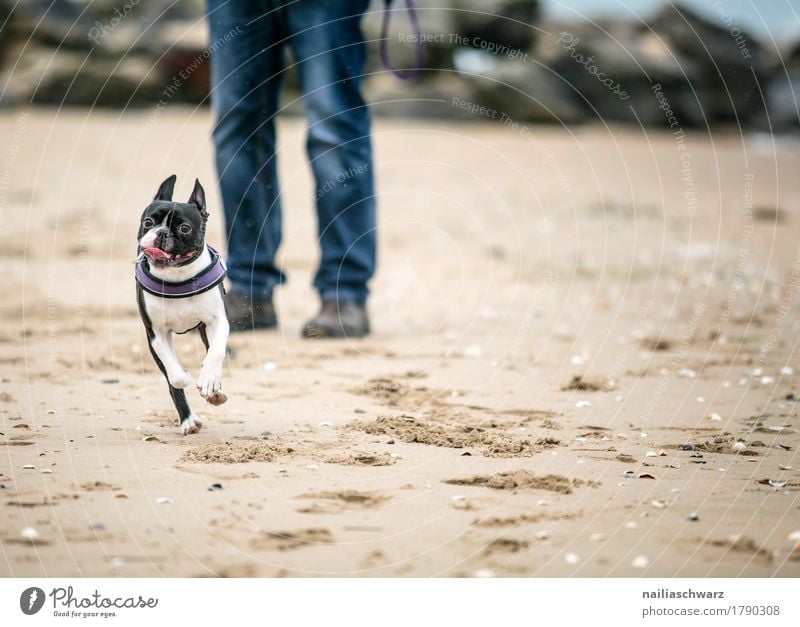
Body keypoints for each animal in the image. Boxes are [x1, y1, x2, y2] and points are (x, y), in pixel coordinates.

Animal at [136, 174, 230, 434]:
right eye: (148, 222)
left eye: (184, 228)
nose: (161, 233)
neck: (177, 278)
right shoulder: (156, 333)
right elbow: (174, 376)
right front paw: (186, 377)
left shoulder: (217, 321)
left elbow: (215, 353)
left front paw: (209, 380)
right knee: (171, 378)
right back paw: (188, 420)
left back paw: (215, 392)